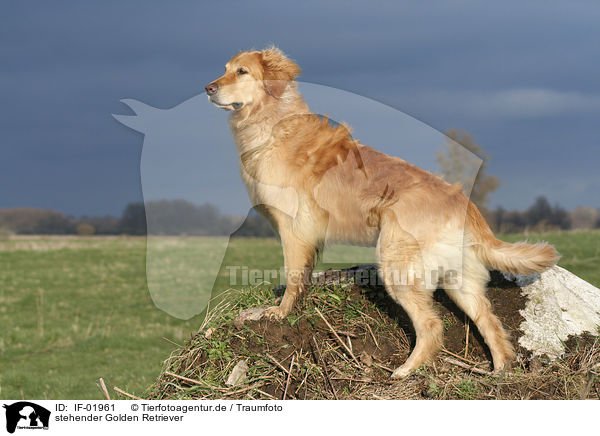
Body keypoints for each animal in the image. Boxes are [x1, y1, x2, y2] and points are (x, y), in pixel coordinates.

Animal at [205, 46, 556, 376]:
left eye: (241, 71)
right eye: (224, 69)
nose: (208, 87)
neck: (272, 120)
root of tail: (463, 202)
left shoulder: (294, 228)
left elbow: (293, 278)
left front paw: (278, 313)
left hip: (396, 264)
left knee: (432, 325)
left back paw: (407, 370)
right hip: (459, 282)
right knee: (490, 323)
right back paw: (499, 372)